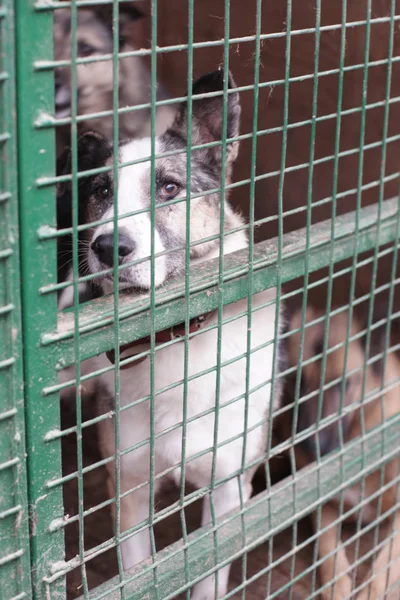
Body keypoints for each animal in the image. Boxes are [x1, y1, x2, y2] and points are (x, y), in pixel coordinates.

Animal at [59, 69, 282, 596]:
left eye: (168, 187)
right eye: (101, 192)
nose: (107, 247)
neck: (177, 340)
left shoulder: (230, 489)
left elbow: (208, 573)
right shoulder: (129, 489)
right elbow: (142, 575)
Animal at [286, 308, 400, 596]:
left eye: (344, 384)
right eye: (297, 381)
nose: (309, 447)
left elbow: (386, 564)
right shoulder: (322, 506)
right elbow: (330, 551)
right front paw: (338, 589)